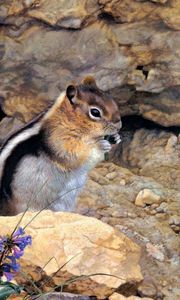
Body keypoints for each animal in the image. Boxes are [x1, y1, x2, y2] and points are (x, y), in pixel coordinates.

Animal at [0, 76, 121, 214]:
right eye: (95, 112)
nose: (119, 125)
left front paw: (116, 138)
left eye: (111, 99)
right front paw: (100, 144)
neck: (67, 120)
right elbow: (74, 156)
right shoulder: (59, 141)